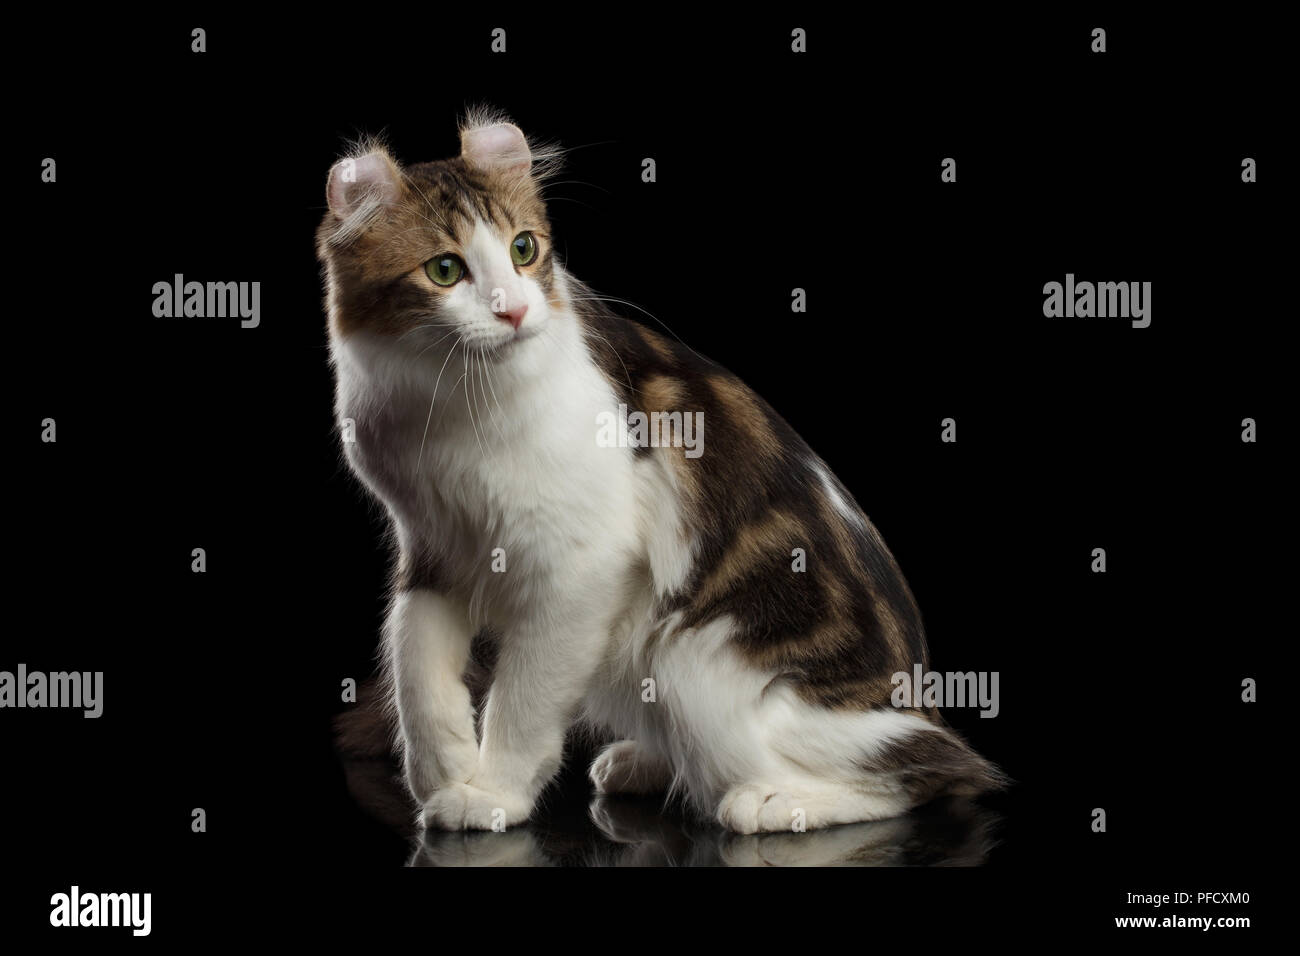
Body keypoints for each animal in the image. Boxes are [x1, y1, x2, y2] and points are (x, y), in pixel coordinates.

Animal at [314, 108, 1003, 832]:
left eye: (524, 250)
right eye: (445, 270)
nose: (515, 310)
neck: (449, 401)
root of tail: (919, 707)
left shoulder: (579, 566)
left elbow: (523, 695)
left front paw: (494, 792)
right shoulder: (432, 544)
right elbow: (413, 666)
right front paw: (442, 773)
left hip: (693, 660)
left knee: (925, 774)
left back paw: (773, 801)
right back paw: (643, 764)